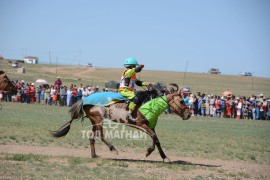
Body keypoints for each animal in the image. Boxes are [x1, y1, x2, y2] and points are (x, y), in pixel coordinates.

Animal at [50, 83, 190, 162]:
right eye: (181, 101)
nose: (188, 114)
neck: (149, 103)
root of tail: (85, 99)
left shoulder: (150, 126)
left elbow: (156, 139)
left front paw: (164, 157)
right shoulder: (141, 125)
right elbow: (154, 137)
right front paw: (149, 151)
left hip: (94, 120)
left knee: (92, 137)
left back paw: (94, 155)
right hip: (98, 119)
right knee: (101, 135)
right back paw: (112, 148)